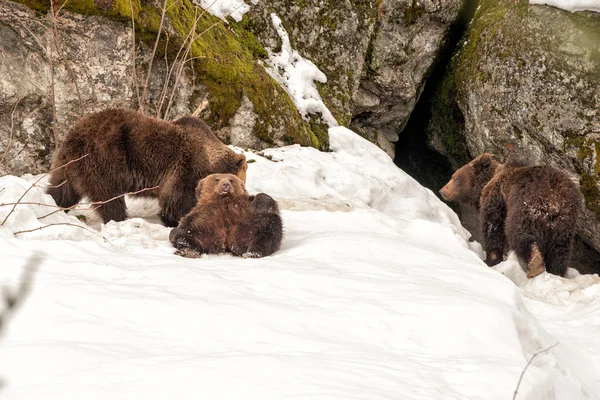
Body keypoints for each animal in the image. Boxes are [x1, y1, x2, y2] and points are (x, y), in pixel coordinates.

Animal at [44, 109, 246, 227]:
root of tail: (74, 135)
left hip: (67, 165)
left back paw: (52, 206)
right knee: (109, 197)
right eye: (240, 182)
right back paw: (119, 219)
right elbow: (177, 199)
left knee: (61, 191)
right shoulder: (185, 168)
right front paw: (177, 219)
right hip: (106, 158)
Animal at [438, 153, 584, 278]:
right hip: (564, 227)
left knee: (519, 234)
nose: (442, 191)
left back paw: (535, 263)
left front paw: (492, 259)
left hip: (525, 208)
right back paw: (556, 272)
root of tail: (556, 201)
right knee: (560, 253)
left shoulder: (497, 201)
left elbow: (493, 228)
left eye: (456, 177)